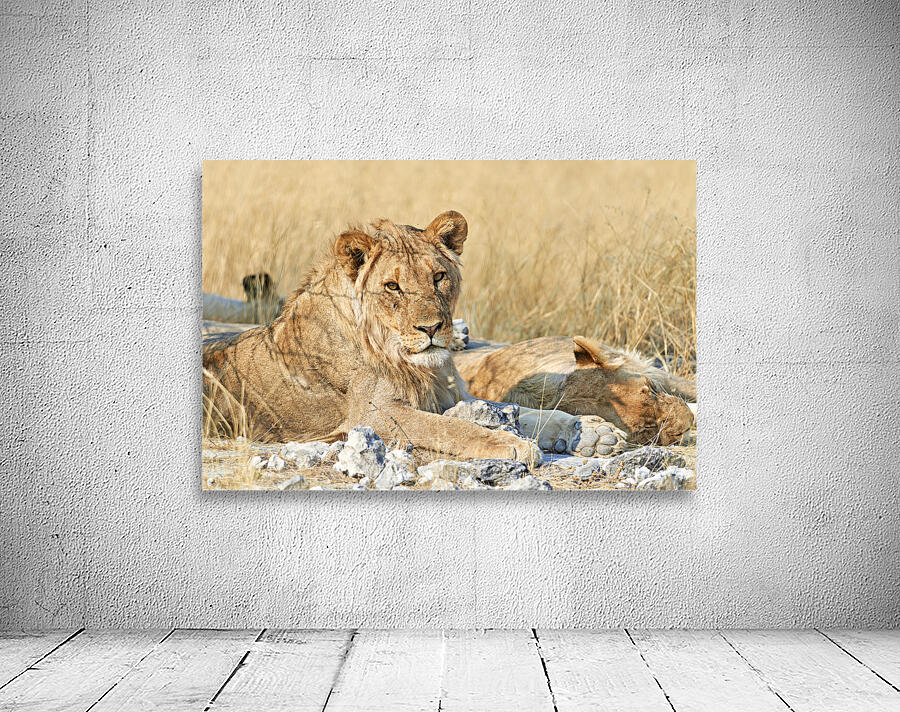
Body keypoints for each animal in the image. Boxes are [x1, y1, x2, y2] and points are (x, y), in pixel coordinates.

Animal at [203, 211, 623, 463]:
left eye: (438, 277)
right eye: (393, 286)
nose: (432, 329)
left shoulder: (454, 394)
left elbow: (533, 412)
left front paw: (593, 432)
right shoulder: (374, 414)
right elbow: (451, 427)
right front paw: (508, 444)